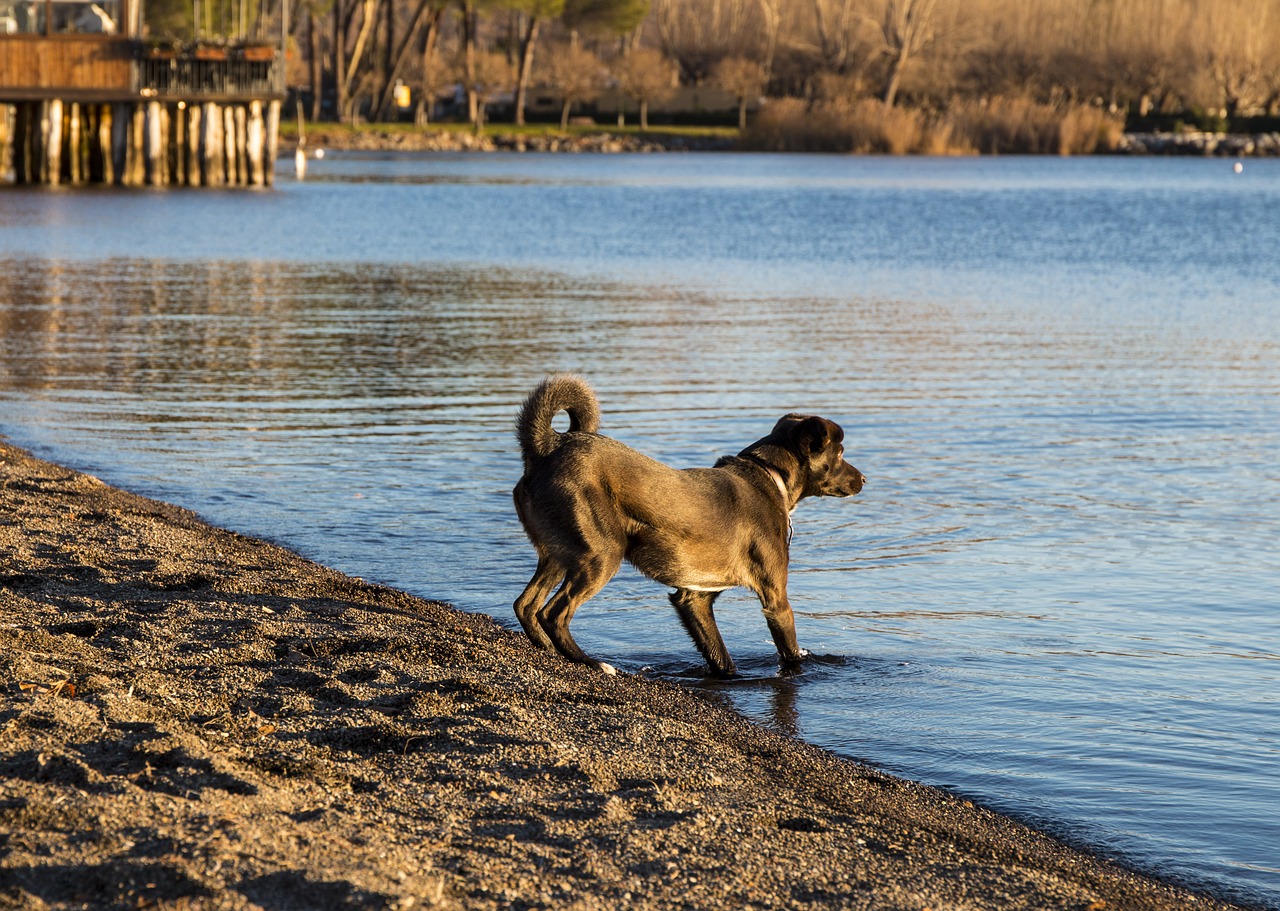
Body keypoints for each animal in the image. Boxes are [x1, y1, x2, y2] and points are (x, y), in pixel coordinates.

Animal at [514, 376, 865, 675]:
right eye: (841, 452)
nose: (863, 479)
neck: (769, 474)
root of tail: (547, 447)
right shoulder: (775, 598)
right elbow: (790, 652)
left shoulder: (693, 598)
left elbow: (719, 656)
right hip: (600, 555)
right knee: (553, 613)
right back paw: (592, 663)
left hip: (559, 553)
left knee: (526, 605)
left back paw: (549, 651)